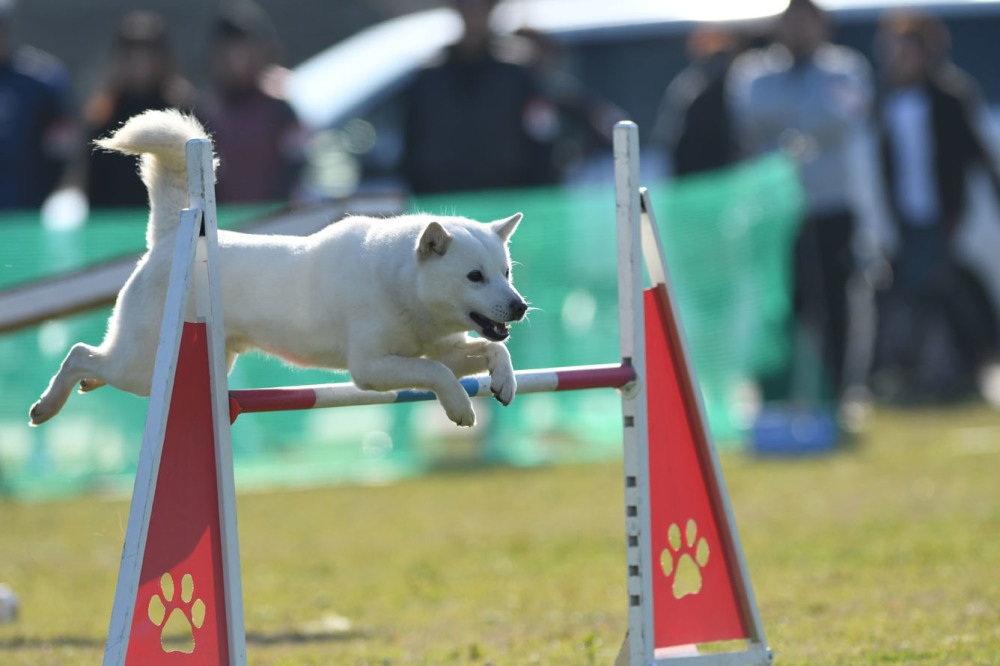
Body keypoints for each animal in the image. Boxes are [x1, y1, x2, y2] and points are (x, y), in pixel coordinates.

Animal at [27, 110, 528, 426]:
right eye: (475, 276)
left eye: (506, 274)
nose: (520, 307)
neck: (401, 284)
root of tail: (172, 236)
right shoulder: (370, 367)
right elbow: (438, 374)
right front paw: (461, 408)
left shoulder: (440, 348)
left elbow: (489, 352)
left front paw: (503, 382)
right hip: (145, 365)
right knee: (79, 353)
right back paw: (46, 406)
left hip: (160, 369)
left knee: (95, 360)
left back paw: (85, 384)